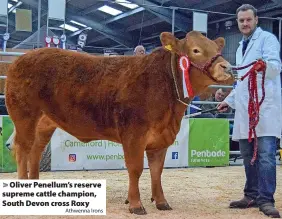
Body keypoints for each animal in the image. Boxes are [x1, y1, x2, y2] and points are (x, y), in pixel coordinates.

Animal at [4, 31, 234, 216]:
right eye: (196, 50)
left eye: (216, 48)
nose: (228, 67)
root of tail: (20, 60)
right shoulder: (134, 135)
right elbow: (136, 169)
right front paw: (136, 204)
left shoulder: (161, 139)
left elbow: (157, 171)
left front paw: (161, 202)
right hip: (24, 116)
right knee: (23, 149)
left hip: (45, 123)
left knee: (36, 150)